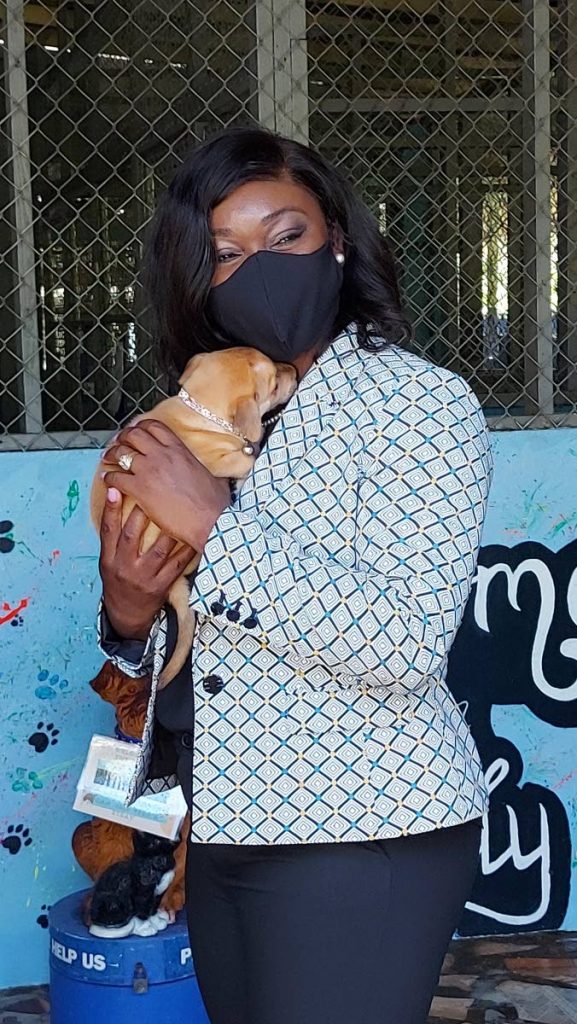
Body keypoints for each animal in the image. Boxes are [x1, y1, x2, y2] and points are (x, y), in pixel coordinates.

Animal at [91, 348, 297, 692]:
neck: (202, 412)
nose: (294, 370)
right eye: (274, 381)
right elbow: (244, 457)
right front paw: (249, 457)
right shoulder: (222, 457)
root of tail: (173, 586)